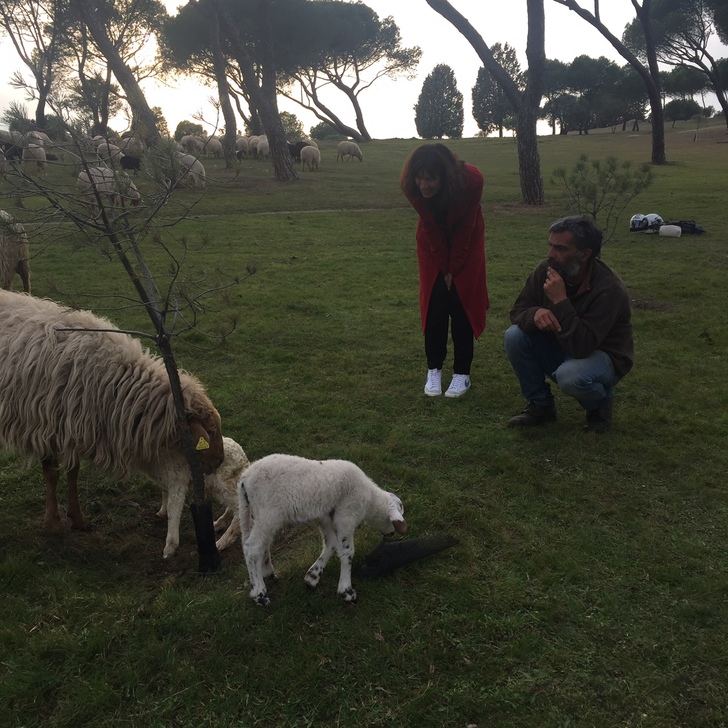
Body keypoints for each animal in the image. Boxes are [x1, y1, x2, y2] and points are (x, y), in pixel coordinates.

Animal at [0, 290, 225, 556]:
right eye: (210, 431)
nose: (220, 461)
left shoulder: (73, 428)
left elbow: (73, 472)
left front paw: (77, 519)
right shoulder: (47, 426)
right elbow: (52, 474)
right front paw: (53, 524)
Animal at [242, 456, 406, 604]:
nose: (391, 534)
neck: (370, 499)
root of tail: (244, 478)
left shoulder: (326, 517)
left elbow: (331, 543)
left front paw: (313, 577)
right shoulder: (346, 516)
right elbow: (347, 552)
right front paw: (346, 590)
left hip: (256, 514)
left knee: (258, 544)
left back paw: (266, 573)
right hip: (267, 513)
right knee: (252, 548)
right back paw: (259, 593)